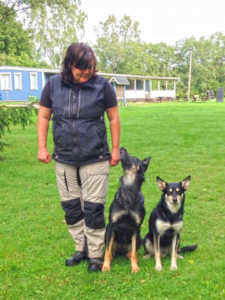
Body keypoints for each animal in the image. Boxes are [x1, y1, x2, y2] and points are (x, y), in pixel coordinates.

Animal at [102, 146, 151, 274]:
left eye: (135, 158)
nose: (122, 148)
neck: (128, 191)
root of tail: (121, 251)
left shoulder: (136, 228)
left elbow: (133, 252)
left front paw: (135, 267)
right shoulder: (111, 226)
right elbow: (107, 252)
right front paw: (105, 266)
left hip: (139, 238)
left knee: (130, 253)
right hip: (107, 234)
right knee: (111, 252)